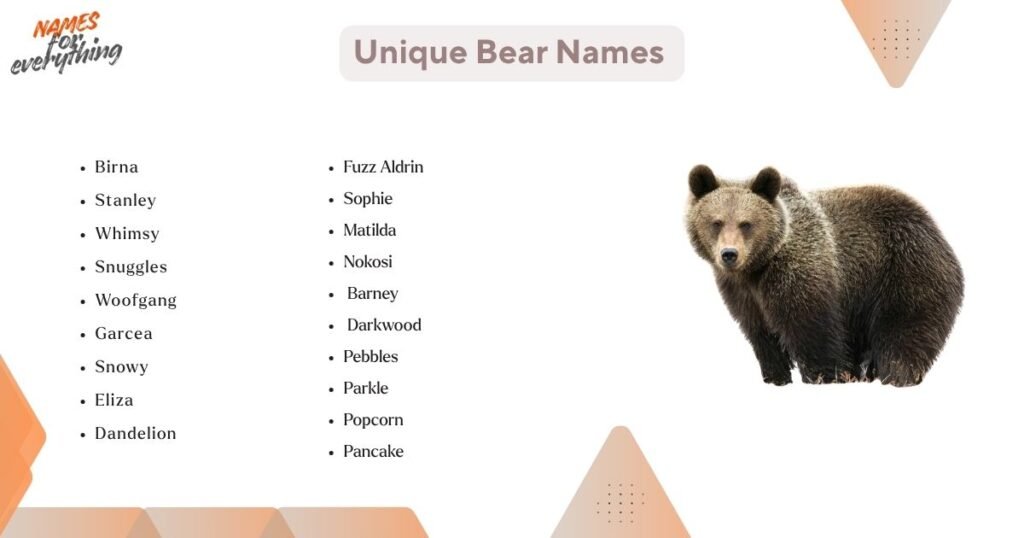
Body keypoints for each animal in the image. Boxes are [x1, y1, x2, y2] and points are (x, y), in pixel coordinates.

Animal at [685, 165, 963, 386]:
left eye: (746, 224)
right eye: (716, 222)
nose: (729, 254)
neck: (757, 267)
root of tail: (936, 229)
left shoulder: (800, 272)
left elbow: (812, 330)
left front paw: (825, 376)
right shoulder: (743, 294)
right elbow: (762, 335)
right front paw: (776, 377)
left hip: (906, 269)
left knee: (904, 331)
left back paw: (896, 376)